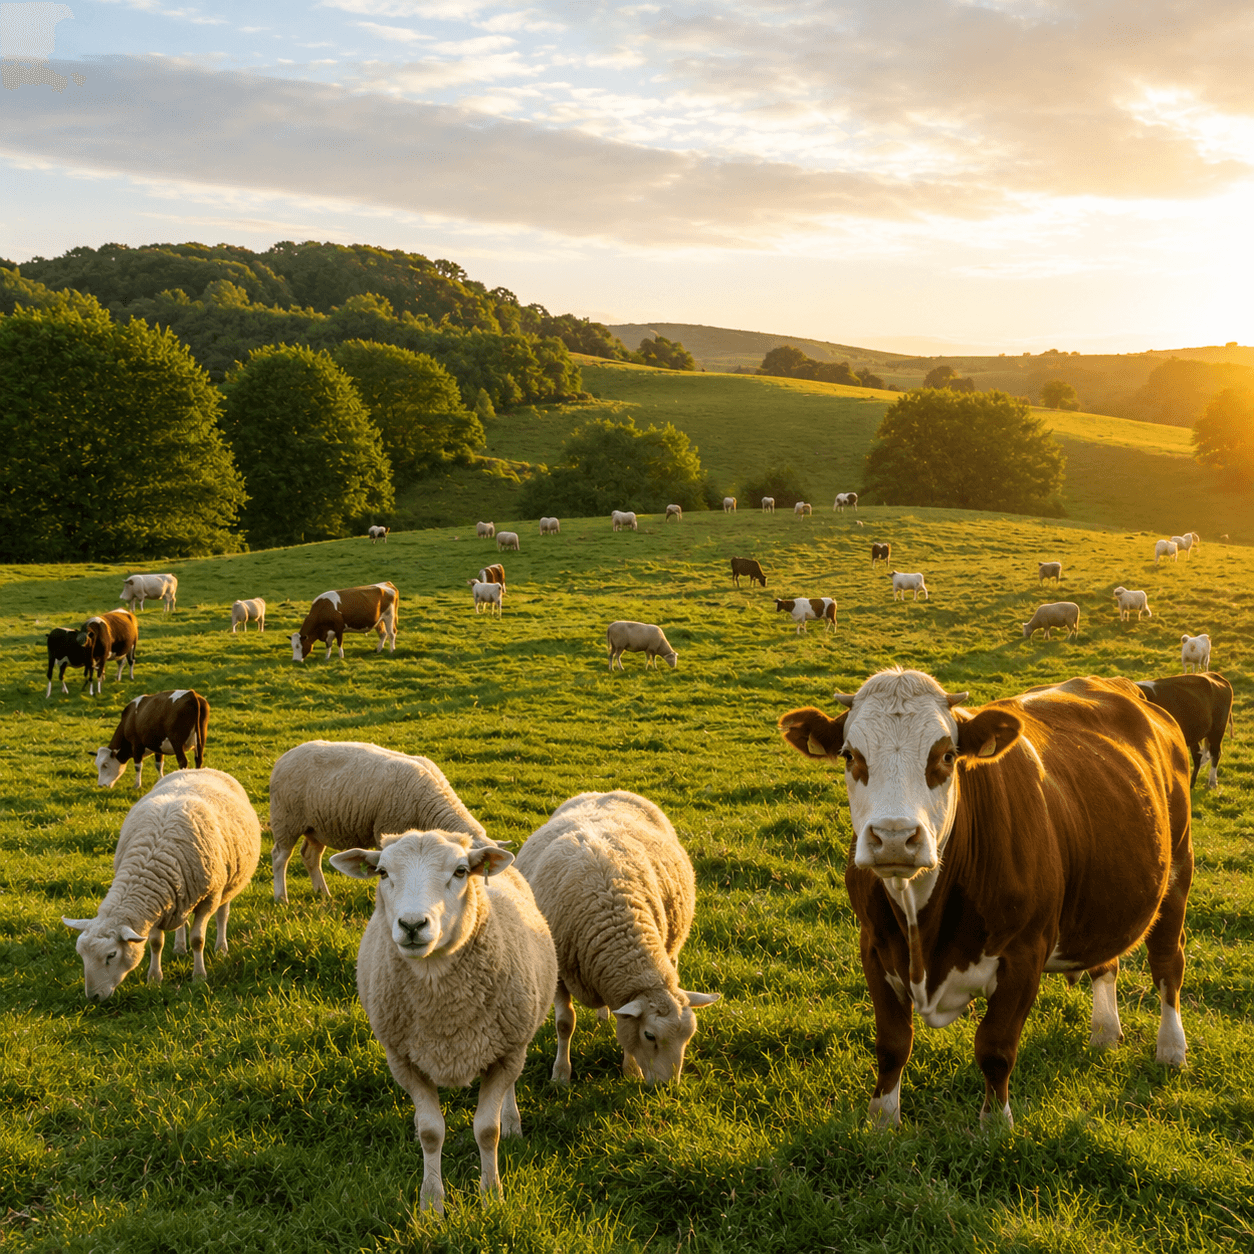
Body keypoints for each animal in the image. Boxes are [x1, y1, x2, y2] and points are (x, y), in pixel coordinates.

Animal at [62, 769, 261, 999]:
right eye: (80, 954)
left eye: (111, 955)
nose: (92, 997)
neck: (151, 862)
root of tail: (201, 769)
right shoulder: (157, 906)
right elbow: (156, 943)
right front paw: (154, 979)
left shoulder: (208, 899)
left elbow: (198, 940)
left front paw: (199, 976)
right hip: (182, 895)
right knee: (183, 921)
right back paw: (180, 947)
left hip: (229, 884)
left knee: (222, 915)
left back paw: (221, 948)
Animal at [268, 740, 486, 903]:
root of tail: (284, 757)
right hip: (285, 819)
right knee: (280, 857)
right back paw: (281, 897)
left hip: (316, 826)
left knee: (310, 856)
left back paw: (323, 893)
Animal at [331, 831, 556, 1216]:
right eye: (382, 872)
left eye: (461, 871)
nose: (412, 925)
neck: (445, 1012)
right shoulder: (403, 1060)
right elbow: (430, 1132)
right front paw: (432, 1204)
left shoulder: (505, 1053)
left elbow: (487, 1130)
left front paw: (491, 1196)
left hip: (517, 1038)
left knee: (512, 1085)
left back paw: (512, 1121)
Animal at [514, 791, 719, 1086]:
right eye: (649, 1035)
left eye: (689, 1036)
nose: (668, 1088)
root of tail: (601, 792)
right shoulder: (560, 974)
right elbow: (565, 1024)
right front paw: (561, 1075)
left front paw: (630, 1070)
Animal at [778, 669, 1193, 1127]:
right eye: (850, 756)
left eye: (946, 756)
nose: (894, 838)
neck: (923, 931)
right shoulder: (873, 944)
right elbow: (892, 1044)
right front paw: (883, 1120)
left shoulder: (1025, 953)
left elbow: (995, 1047)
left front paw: (995, 1124)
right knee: (1106, 961)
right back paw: (1104, 1031)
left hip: (1178, 868)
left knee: (1168, 963)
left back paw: (1171, 1048)